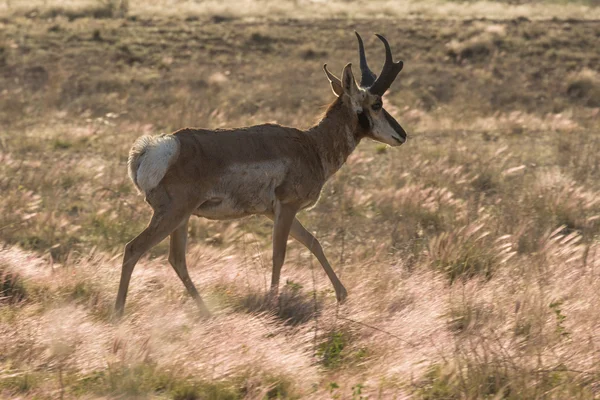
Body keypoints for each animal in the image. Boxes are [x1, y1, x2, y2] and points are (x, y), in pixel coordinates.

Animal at [115, 31, 406, 318]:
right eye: (377, 103)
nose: (402, 135)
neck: (311, 145)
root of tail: (160, 145)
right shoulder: (287, 207)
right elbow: (280, 254)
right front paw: (273, 304)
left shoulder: (274, 212)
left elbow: (313, 242)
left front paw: (342, 295)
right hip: (172, 215)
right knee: (133, 249)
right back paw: (118, 313)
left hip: (182, 218)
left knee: (176, 259)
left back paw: (207, 312)